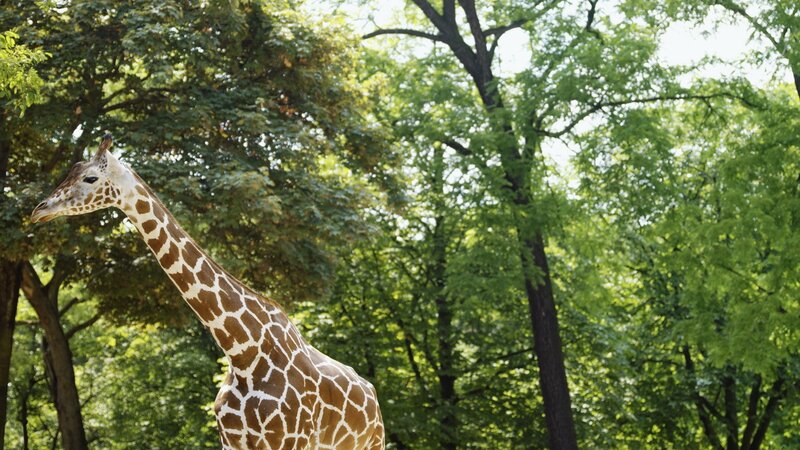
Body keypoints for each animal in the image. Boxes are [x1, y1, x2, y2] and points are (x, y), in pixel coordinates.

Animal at [31, 135, 385, 450]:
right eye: (70, 171)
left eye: (90, 177)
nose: (39, 209)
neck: (243, 353)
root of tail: (372, 394)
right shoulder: (232, 441)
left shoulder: (290, 441)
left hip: (371, 443)